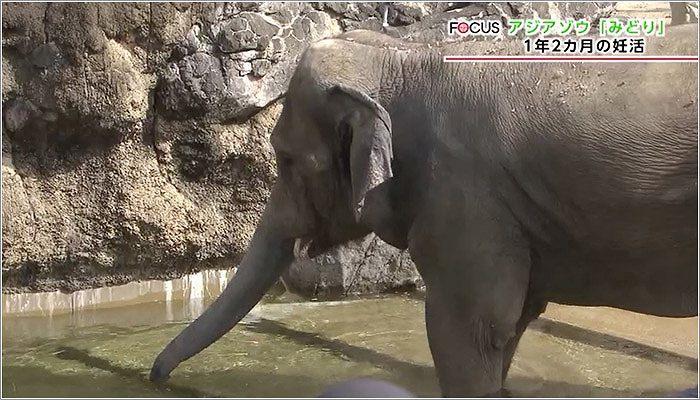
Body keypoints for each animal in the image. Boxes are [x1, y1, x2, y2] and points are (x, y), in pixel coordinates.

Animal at [150, 25, 696, 396]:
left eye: (285, 159)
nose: (156, 376)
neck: (400, 54)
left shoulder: (464, 199)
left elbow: (469, 328)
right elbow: (509, 324)